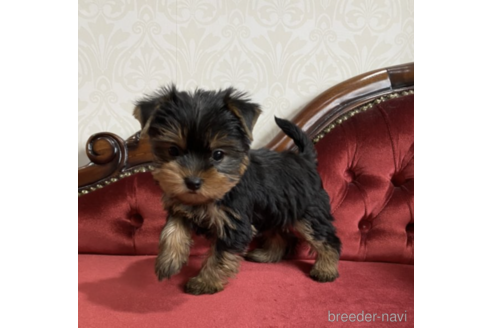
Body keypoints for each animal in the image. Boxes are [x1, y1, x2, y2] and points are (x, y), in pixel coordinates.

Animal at [135, 84, 342, 294]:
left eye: (218, 154)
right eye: (173, 150)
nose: (192, 182)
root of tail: (305, 159)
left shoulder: (234, 222)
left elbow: (219, 255)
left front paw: (204, 282)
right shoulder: (182, 205)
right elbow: (172, 229)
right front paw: (168, 262)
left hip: (308, 210)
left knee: (324, 237)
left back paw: (325, 269)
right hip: (274, 209)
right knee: (280, 233)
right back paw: (266, 255)